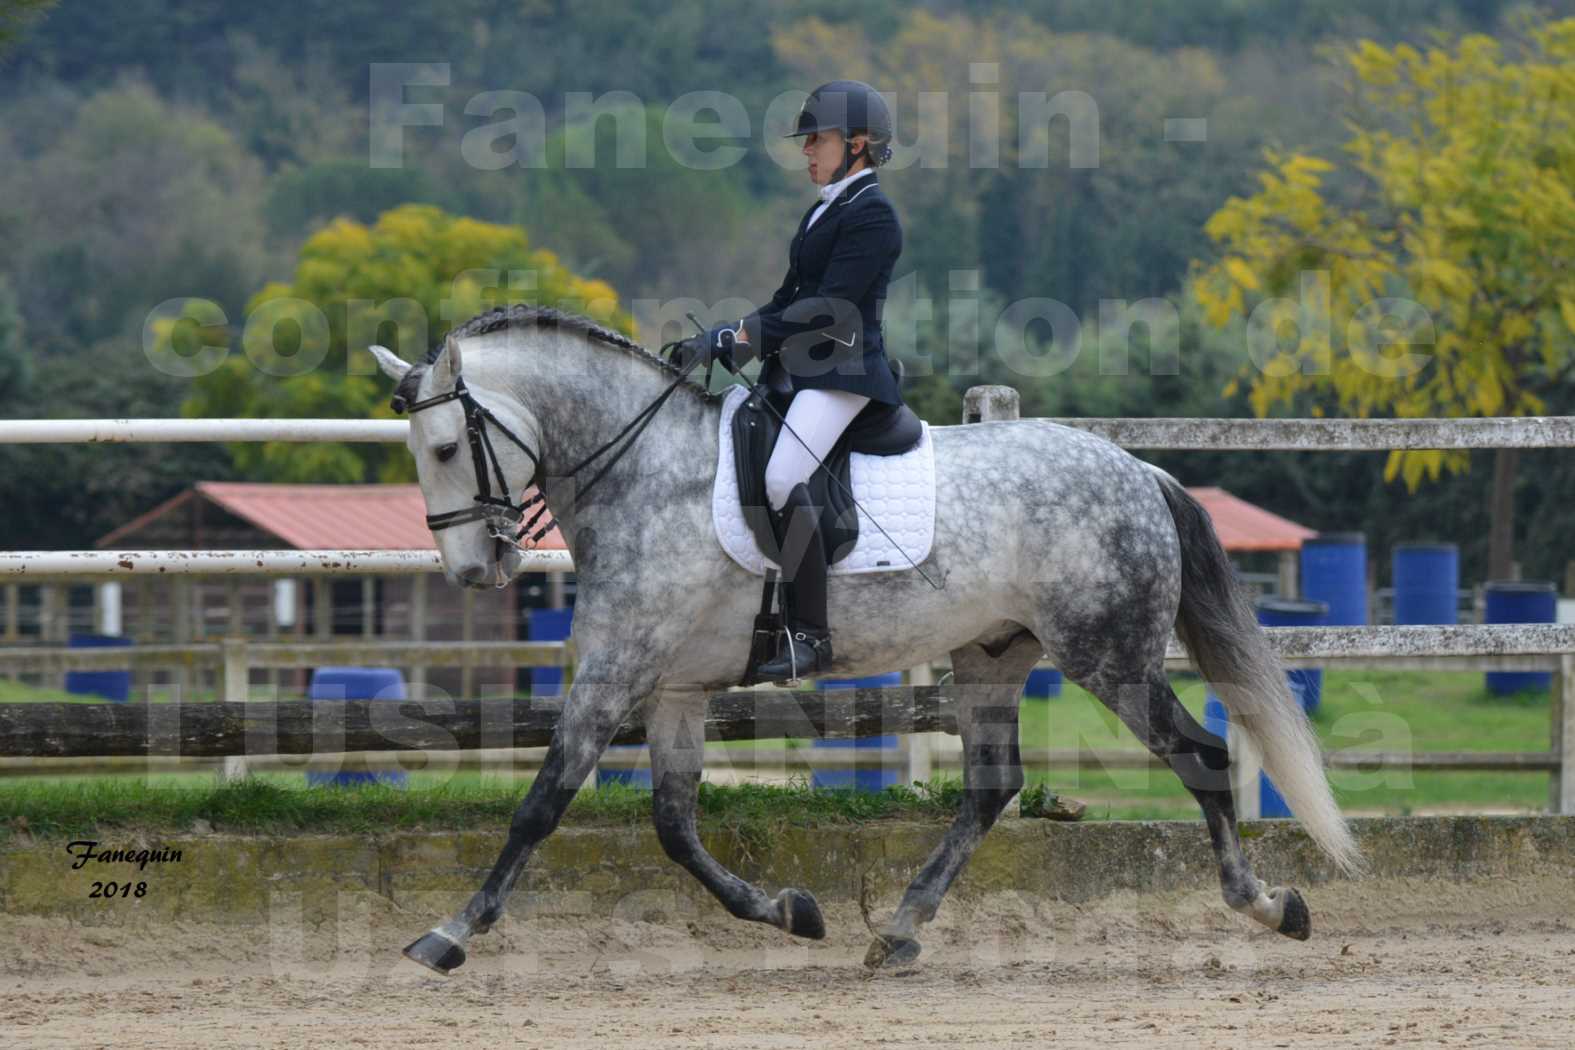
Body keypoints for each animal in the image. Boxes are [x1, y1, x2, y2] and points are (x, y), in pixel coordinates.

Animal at [371, 303, 1367, 976]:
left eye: (449, 448)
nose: (475, 571)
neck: (645, 473)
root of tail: (1137, 469)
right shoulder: (674, 687)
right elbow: (673, 825)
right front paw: (789, 911)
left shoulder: (618, 673)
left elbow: (541, 804)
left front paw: (448, 934)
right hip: (992, 656)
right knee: (991, 785)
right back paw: (896, 930)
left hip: (1108, 658)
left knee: (1200, 757)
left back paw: (1268, 905)